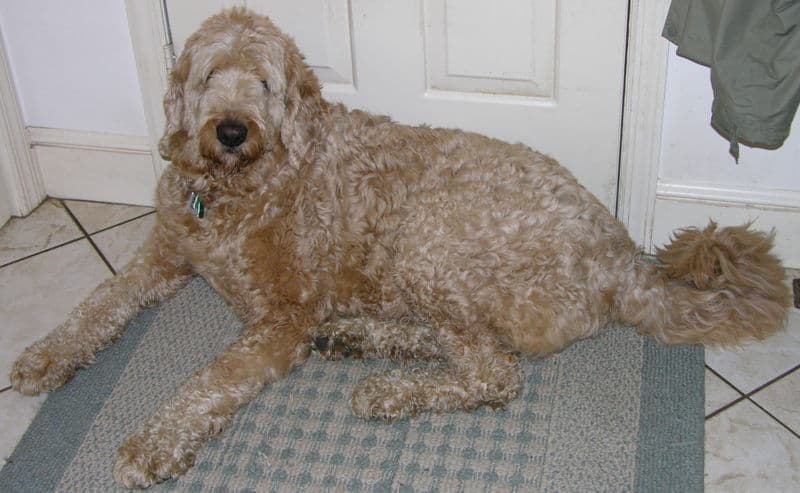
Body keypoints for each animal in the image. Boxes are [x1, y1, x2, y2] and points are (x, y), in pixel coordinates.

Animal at [9, 7, 792, 488]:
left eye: (262, 82)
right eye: (207, 77)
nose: (230, 129)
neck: (235, 195)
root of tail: (623, 252)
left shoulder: (280, 318)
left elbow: (204, 384)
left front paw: (152, 441)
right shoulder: (161, 256)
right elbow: (97, 302)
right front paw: (45, 355)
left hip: (429, 240)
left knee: (492, 372)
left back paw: (387, 387)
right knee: (464, 347)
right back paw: (360, 337)